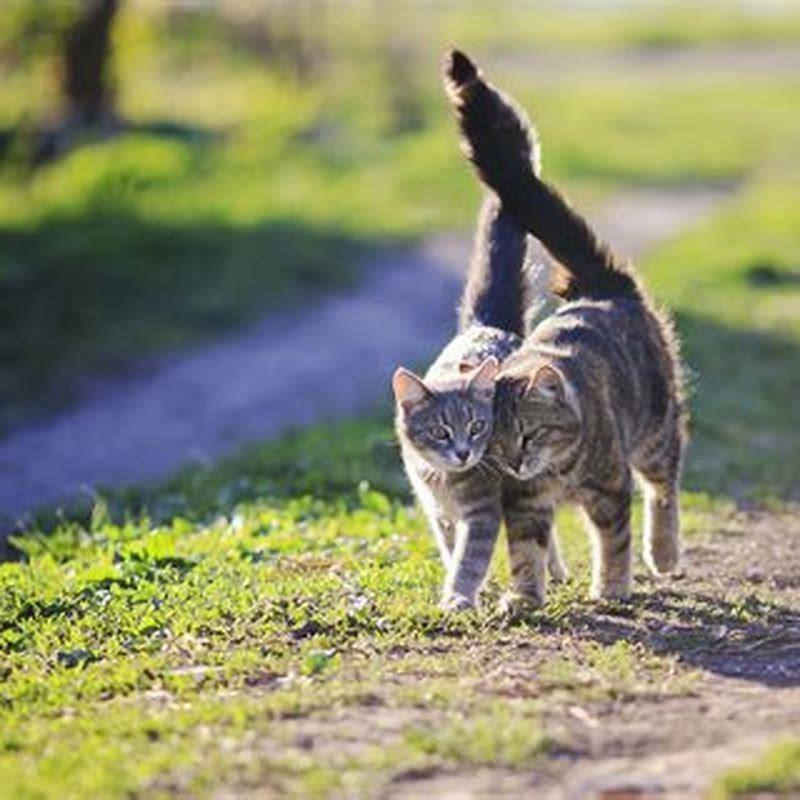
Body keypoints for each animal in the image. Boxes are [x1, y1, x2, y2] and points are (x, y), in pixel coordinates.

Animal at [444, 50, 688, 608]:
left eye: (530, 434)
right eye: (493, 442)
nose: (515, 462)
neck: (554, 472)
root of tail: (602, 284)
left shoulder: (611, 488)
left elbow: (614, 543)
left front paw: (613, 588)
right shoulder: (523, 504)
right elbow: (526, 553)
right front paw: (525, 598)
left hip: (655, 430)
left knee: (664, 487)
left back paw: (663, 552)